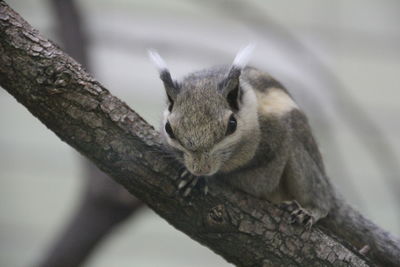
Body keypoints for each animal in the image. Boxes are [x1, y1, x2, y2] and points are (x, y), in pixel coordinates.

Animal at [148, 45, 400, 266]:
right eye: (169, 129)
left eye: (232, 124)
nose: (201, 168)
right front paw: (192, 176)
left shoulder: (274, 142)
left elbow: (257, 179)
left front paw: (207, 177)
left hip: (303, 161)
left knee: (321, 197)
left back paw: (311, 210)